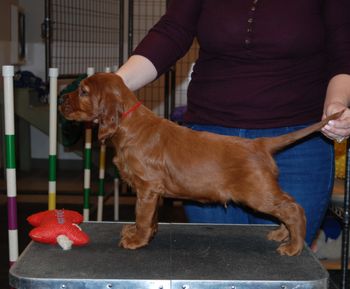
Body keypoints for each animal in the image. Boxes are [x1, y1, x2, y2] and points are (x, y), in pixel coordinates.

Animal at [59, 72, 342, 254]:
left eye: (83, 91)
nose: (61, 100)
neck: (129, 124)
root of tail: (260, 144)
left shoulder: (147, 187)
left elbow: (142, 214)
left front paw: (137, 240)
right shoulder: (154, 191)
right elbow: (150, 217)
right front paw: (143, 234)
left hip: (257, 193)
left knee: (294, 208)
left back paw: (293, 246)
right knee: (290, 204)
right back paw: (283, 234)